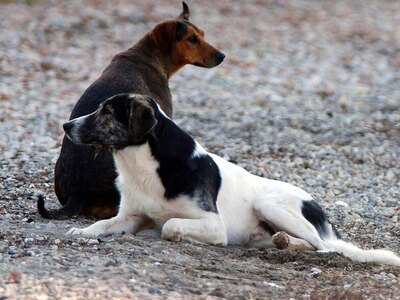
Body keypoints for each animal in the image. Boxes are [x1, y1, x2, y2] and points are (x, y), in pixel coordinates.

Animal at [62, 92, 400, 266]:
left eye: (106, 112)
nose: (66, 125)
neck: (145, 164)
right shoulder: (130, 215)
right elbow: (102, 224)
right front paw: (83, 231)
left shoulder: (214, 224)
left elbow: (170, 225)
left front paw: (173, 235)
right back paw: (280, 242)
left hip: (270, 204)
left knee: (323, 248)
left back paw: (290, 243)